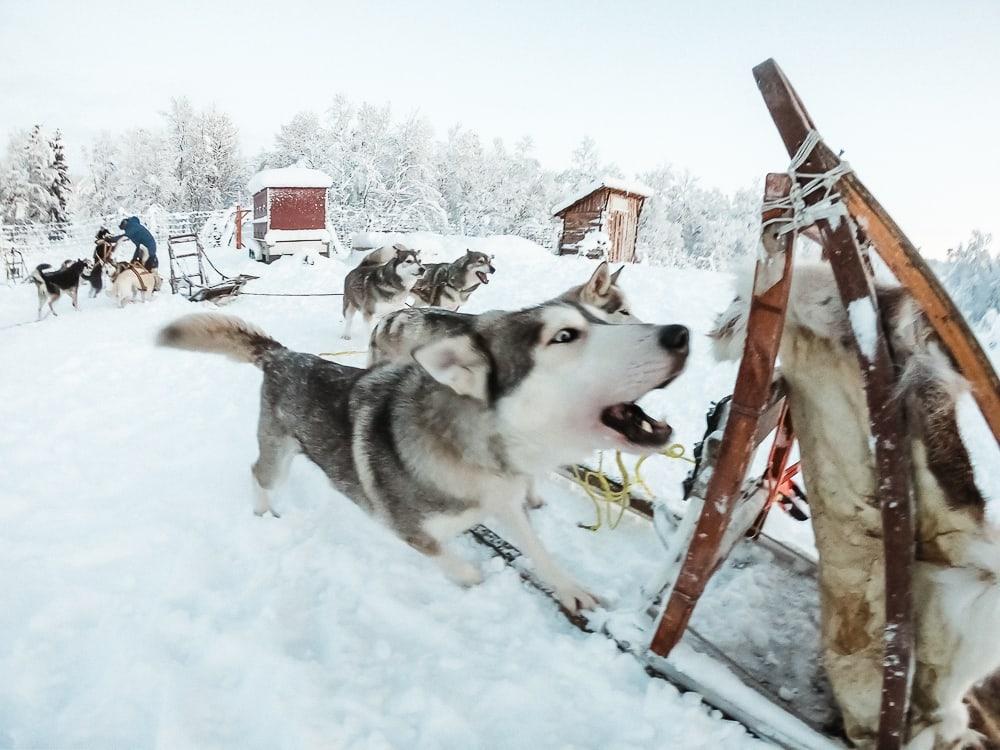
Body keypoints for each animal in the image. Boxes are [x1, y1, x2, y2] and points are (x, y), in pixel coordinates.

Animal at [158, 308, 688, 612]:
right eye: (564, 336)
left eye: (601, 318)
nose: (680, 334)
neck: (472, 455)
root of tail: (284, 355)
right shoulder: (408, 530)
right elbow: (452, 562)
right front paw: (473, 577)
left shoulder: (506, 502)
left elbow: (539, 550)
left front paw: (569, 587)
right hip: (278, 458)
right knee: (258, 473)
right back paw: (262, 512)